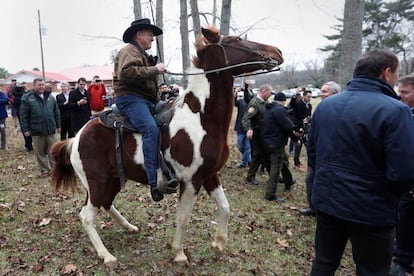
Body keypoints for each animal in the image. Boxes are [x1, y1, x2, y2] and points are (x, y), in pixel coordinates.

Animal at [50, 27, 284, 266]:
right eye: (236, 40)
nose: (277, 51)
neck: (200, 117)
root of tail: (75, 138)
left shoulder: (210, 175)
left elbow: (225, 208)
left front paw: (218, 245)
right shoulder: (191, 180)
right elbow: (183, 217)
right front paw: (179, 253)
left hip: (111, 180)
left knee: (105, 204)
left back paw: (129, 227)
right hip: (98, 182)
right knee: (87, 215)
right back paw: (106, 255)